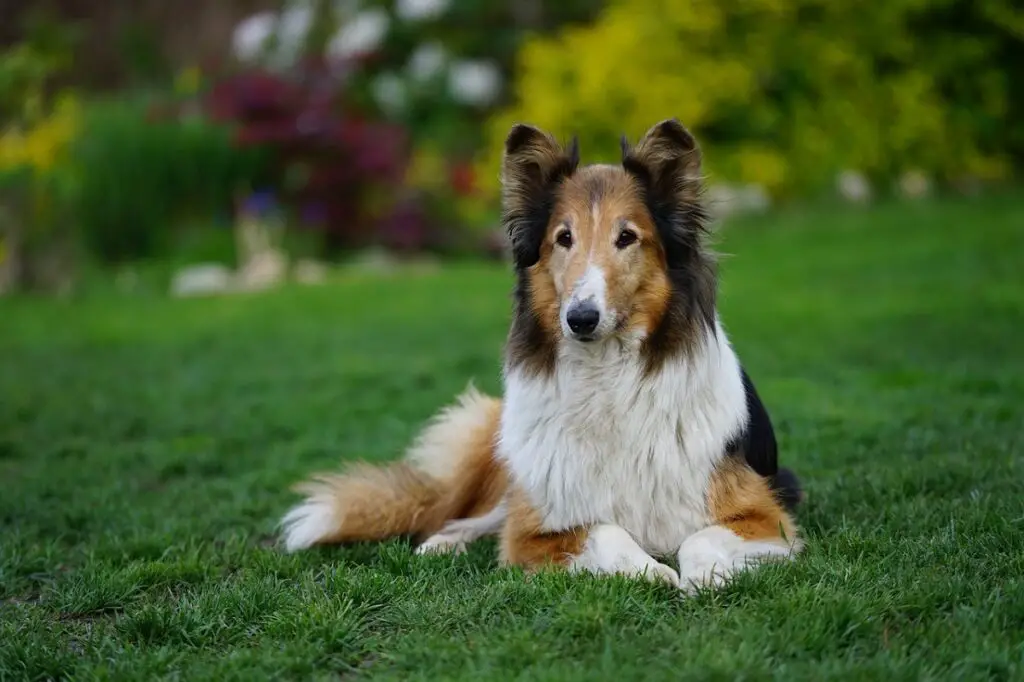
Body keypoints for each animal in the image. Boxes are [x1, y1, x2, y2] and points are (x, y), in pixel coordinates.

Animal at [282, 118, 806, 589]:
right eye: (563, 238)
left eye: (627, 237)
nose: (581, 318)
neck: (607, 380)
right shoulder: (532, 530)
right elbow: (605, 529)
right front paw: (651, 571)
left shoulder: (767, 514)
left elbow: (698, 538)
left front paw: (700, 577)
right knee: (472, 515)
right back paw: (443, 542)